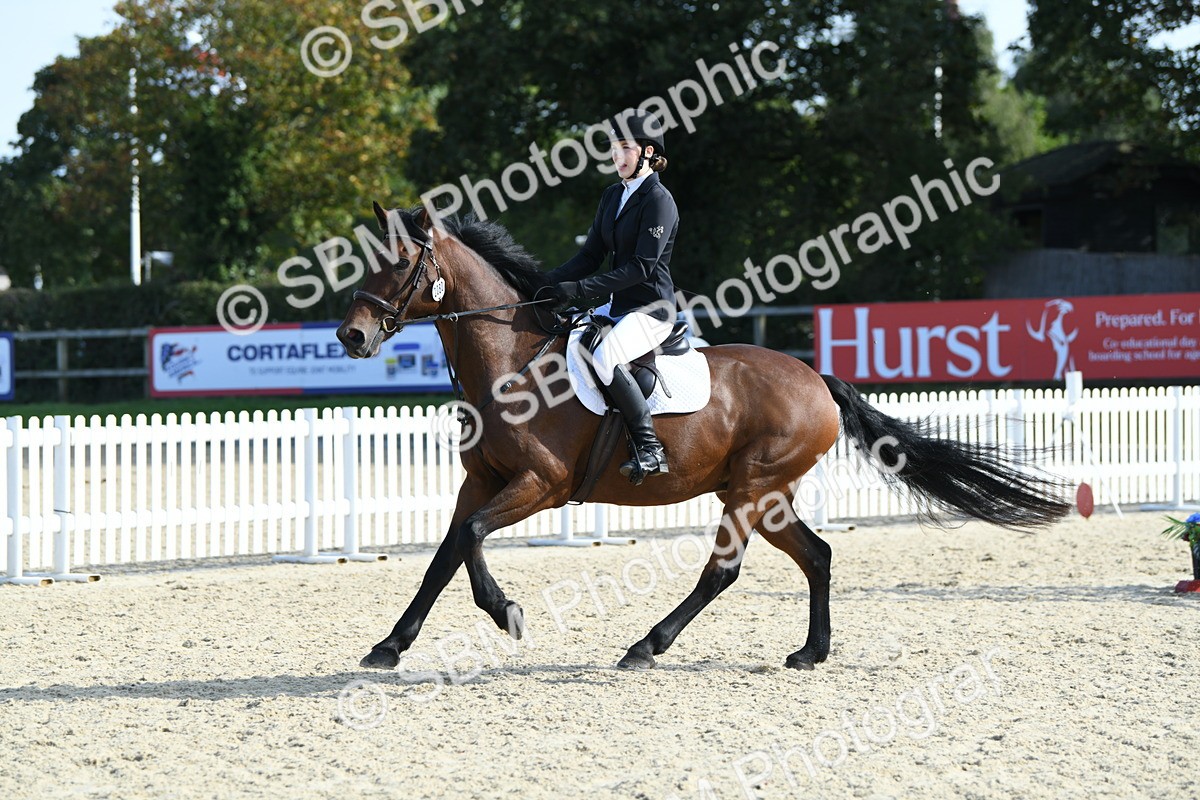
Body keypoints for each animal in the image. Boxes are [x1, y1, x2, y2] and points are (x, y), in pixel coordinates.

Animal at [336, 205, 1069, 672]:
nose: (351, 336)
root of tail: (815, 377)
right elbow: (446, 553)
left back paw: (646, 647)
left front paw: (505, 611)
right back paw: (810, 653)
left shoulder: (540, 484)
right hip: (767, 493)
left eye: (399, 264)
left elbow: (470, 538)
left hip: (750, 487)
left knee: (724, 570)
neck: (514, 363)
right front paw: (389, 647)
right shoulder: (483, 479)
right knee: (818, 555)